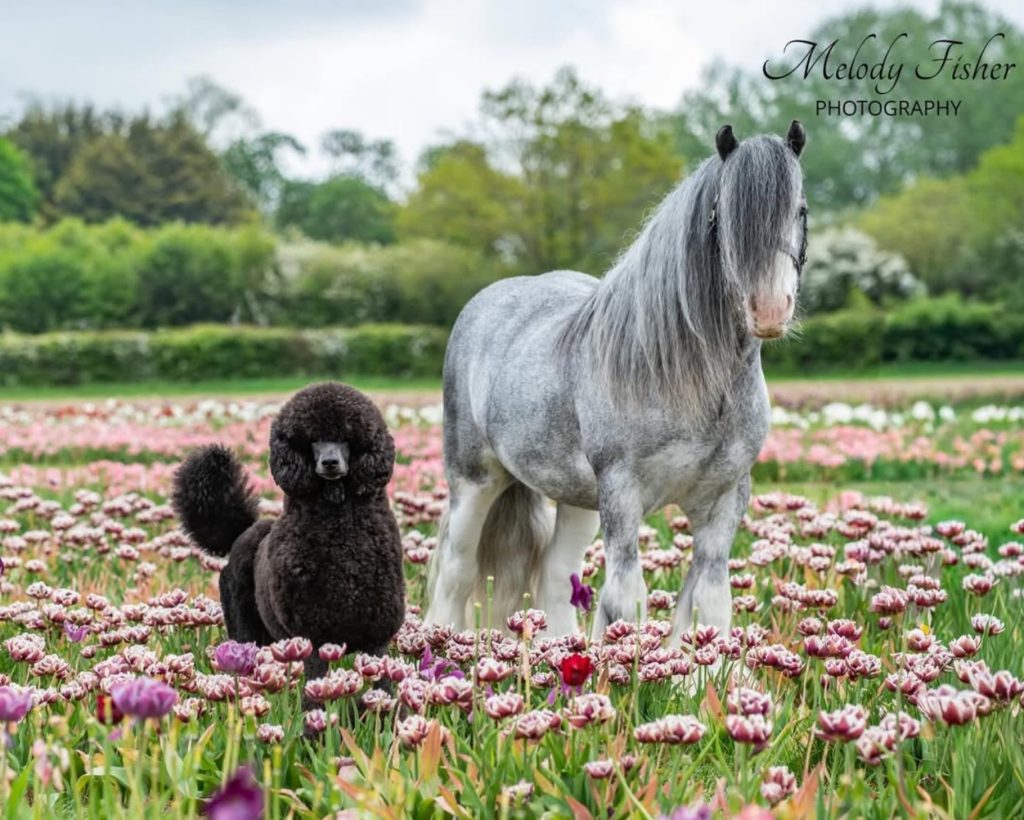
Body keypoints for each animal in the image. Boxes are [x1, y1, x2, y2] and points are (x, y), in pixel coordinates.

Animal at [424, 121, 808, 642]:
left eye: (800, 210)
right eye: (721, 216)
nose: (768, 310)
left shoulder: (724, 500)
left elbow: (707, 604)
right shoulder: (623, 494)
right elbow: (627, 601)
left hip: (578, 501)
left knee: (555, 574)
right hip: (474, 483)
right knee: (457, 572)